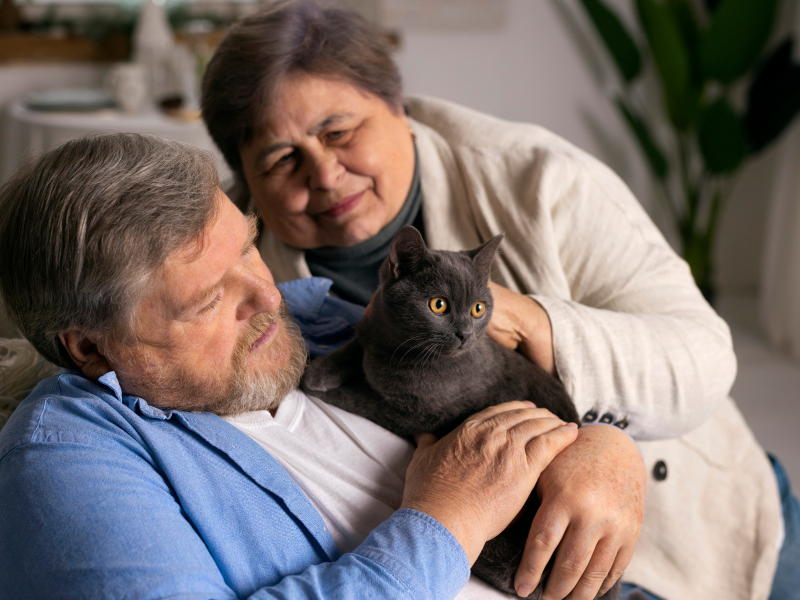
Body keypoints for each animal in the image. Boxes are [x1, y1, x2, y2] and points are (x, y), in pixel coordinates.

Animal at [300, 226, 620, 600]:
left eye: (478, 308)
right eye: (438, 304)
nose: (465, 333)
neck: (395, 349)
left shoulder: (416, 413)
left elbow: (363, 398)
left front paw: (316, 383)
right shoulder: (371, 330)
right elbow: (355, 344)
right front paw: (320, 369)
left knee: (518, 578)